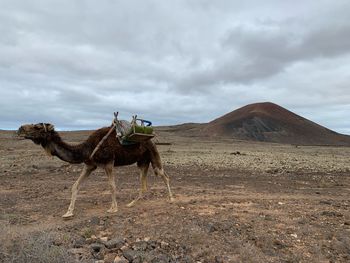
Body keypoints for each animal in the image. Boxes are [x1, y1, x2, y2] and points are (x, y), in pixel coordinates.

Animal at [16, 123, 175, 219]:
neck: (86, 148)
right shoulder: (90, 165)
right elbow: (75, 186)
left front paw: (113, 208)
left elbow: (112, 186)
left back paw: (171, 198)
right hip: (142, 162)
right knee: (143, 184)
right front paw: (68, 212)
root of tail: (151, 140)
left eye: (37, 126)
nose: (19, 129)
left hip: (152, 155)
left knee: (165, 175)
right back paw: (131, 204)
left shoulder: (108, 162)